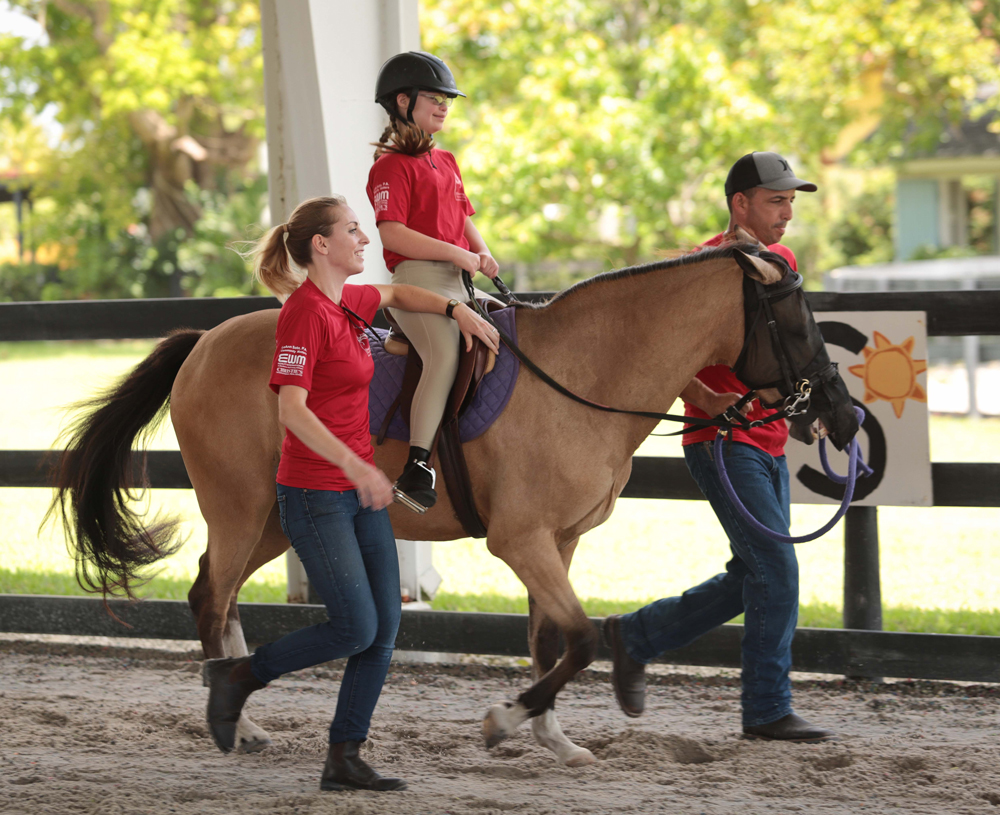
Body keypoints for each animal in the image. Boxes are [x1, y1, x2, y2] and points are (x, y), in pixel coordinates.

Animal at [51, 239, 859, 767]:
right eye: (796, 321)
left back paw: (241, 712)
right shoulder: (521, 540)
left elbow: (549, 639)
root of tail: (202, 343)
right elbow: (580, 639)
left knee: (214, 596)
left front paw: (552, 737)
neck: (581, 374)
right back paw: (237, 723)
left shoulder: (558, 541)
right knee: (211, 597)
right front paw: (505, 720)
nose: (842, 416)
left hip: (275, 521)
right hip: (241, 508)